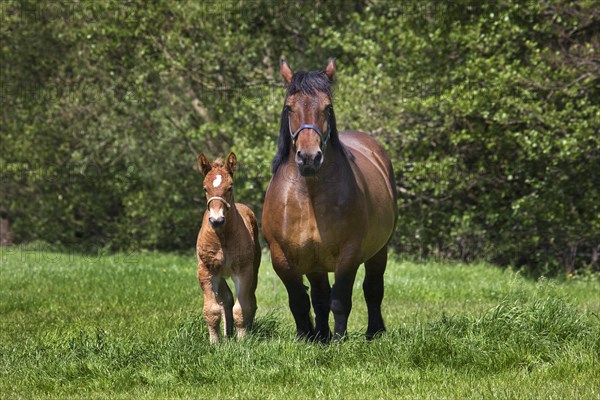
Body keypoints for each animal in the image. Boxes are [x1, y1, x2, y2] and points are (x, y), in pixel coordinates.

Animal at [197, 152, 260, 342]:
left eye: (230, 187)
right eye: (205, 188)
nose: (217, 220)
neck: (222, 237)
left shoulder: (243, 271)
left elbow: (242, 308)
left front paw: (242, 340)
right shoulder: (207, 271)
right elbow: (212, 310)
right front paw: (215, 342)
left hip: (253, 269)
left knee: (250, 300)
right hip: (220, 275)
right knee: (226, 299)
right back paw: (227, 334)